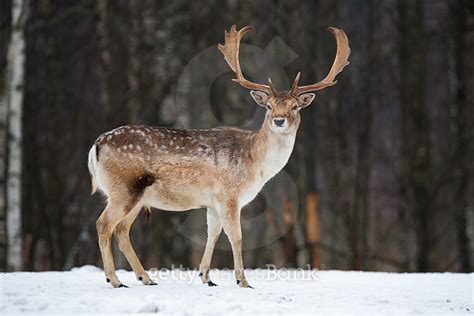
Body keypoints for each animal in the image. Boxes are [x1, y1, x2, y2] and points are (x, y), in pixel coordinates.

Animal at [88, 25, 348, 288]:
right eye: (269, 106)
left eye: (295, 106)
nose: (279, 120)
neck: (255, 165)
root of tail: (96, 146)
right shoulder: (228, 195)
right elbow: (236, 236)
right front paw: (243, 281)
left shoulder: (212, 202)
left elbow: (212, 234)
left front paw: (206, 277)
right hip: (123, 188)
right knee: (103, 224)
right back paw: (115, 280)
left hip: (137, 196)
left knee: (121, 230)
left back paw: (146, 278)